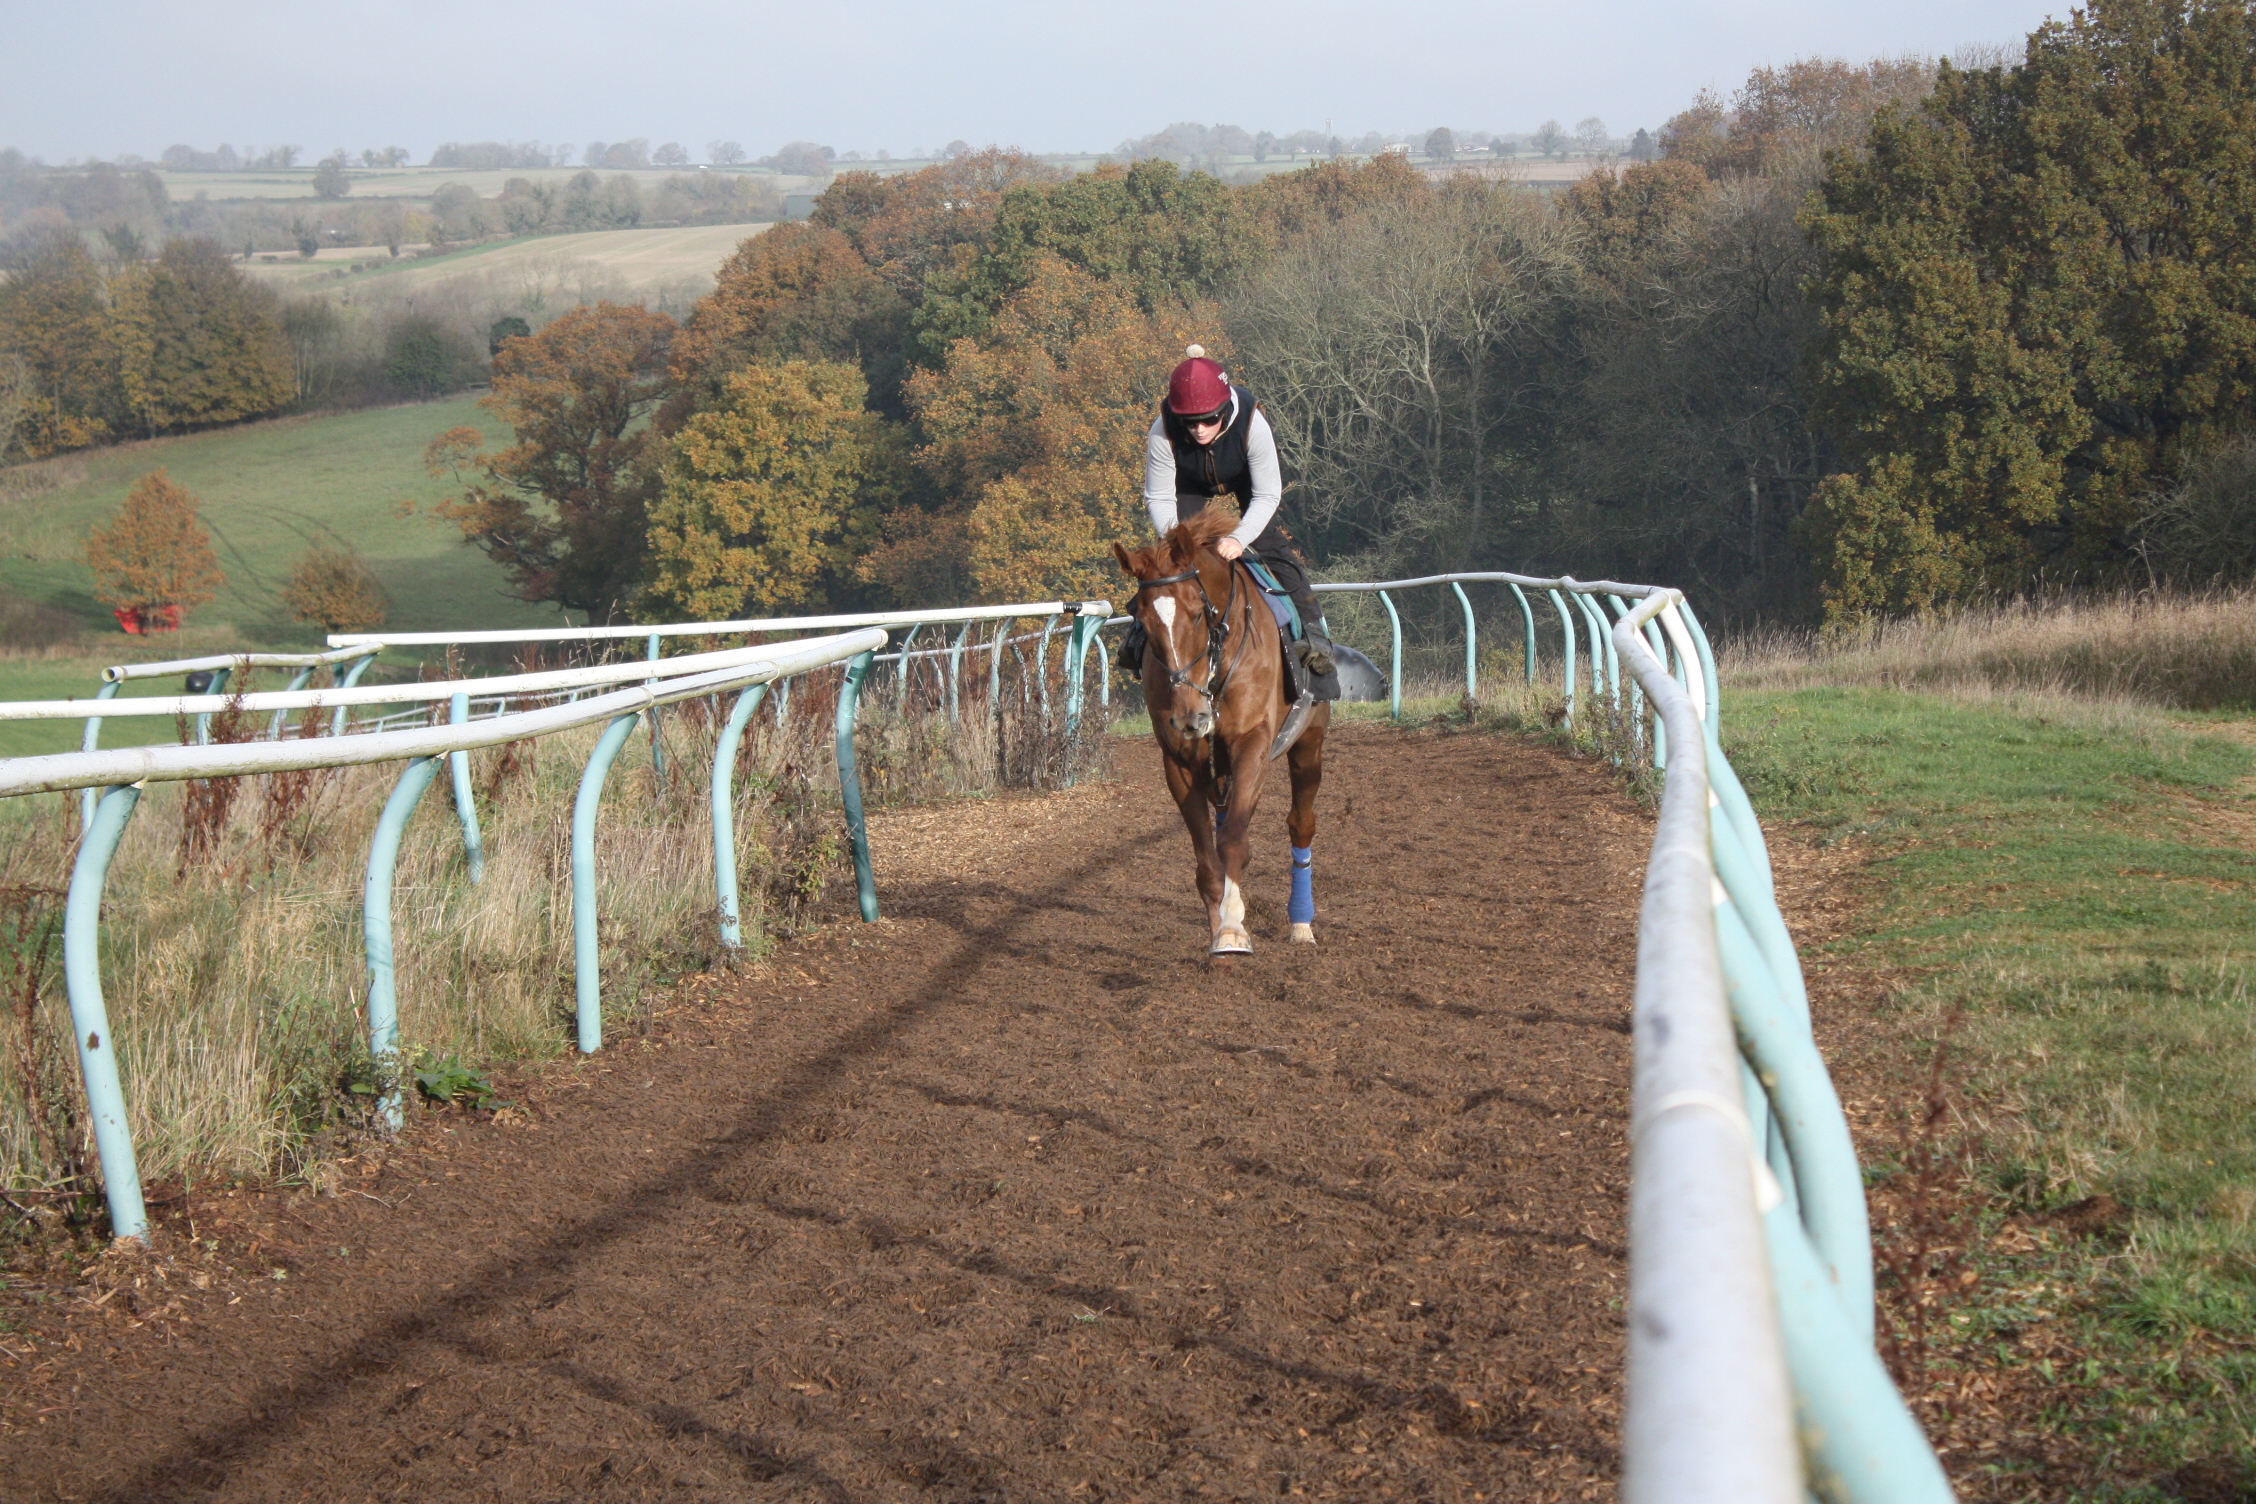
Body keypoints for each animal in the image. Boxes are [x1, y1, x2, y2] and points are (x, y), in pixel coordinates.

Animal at [1118, 505, 1326, 951]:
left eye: (1199, 611)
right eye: (1142, 619)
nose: (1190, 716)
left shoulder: (1253, 743)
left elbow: (1232, 839)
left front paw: (1231, 927)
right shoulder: (1180, 761)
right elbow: (1206, 856)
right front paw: (1218, 929)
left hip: (1309, 743)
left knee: (1300, 824)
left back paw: (1301, 922)